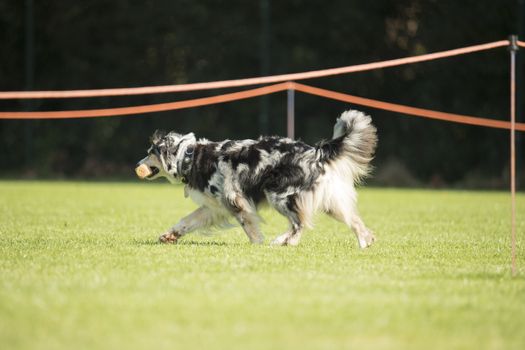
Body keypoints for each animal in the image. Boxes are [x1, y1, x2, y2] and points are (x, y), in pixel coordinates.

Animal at [135, 109, 376, 246]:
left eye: (150, 153)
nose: (137, 165)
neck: (190, 156)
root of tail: (315, 151)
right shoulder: (213, 207)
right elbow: (187, 221)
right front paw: (170, 235)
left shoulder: (234, 200)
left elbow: (248, 225)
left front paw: (257, 244)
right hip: (329, 201)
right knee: (353, 219)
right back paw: (366, 241)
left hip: (280, 194)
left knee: (300, 223)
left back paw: (283, 241)